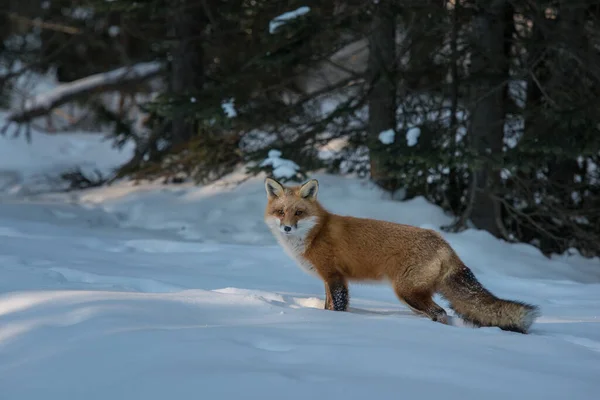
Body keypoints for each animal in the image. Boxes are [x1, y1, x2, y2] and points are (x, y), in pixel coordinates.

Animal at [264, 177, 540, 332]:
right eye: (281, 212)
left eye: (298, 213)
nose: (286, 228)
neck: (315, 232)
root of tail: (444, 242)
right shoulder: (327, 279)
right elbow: (327, 305)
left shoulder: (335, 277)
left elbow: (338, 307)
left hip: (407, 293)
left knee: (442, 314)